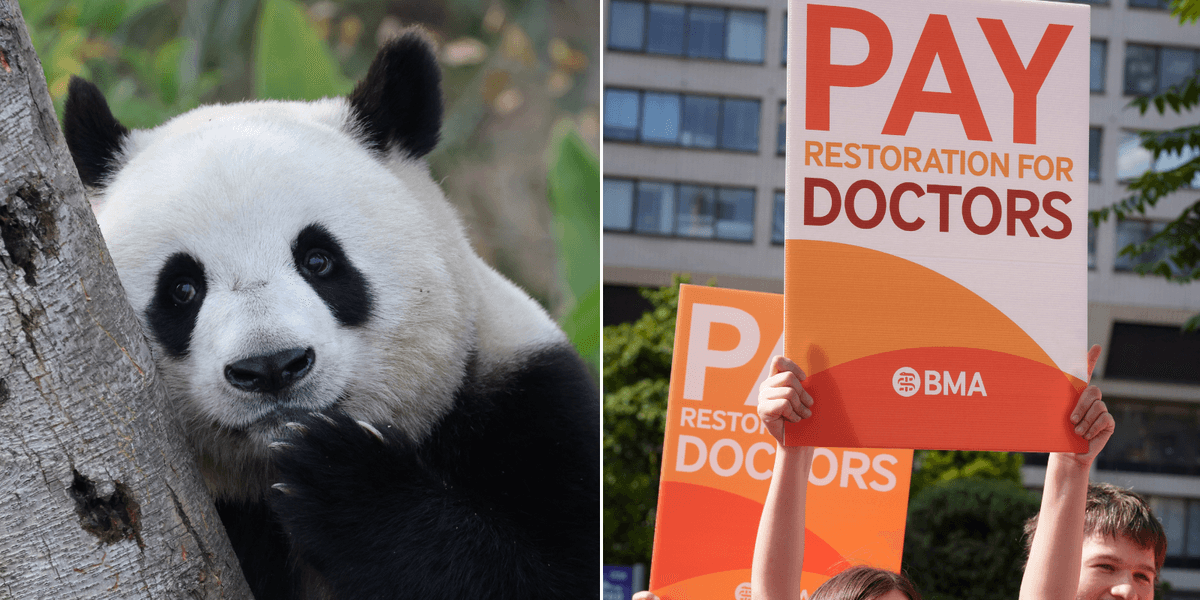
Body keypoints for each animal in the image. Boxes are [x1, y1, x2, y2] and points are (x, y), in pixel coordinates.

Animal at [62, 30, 599, 600]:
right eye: (182, 289)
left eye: (318, 260)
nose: (271, 367)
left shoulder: (531, 408)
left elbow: (549, 571)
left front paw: (344, 484)